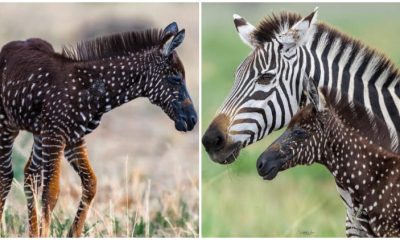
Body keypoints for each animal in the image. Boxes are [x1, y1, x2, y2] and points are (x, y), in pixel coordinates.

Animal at [0, 21, 197, 237]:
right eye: (176, 78)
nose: (193, 120)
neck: (92, 90)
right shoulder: (56, 134)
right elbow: (51, 192)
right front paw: (47, 235)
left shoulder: (72, 138)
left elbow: (91, 184)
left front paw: (73, 234)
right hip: (7, 126)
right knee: (6, 175)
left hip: (38, 134)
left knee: (30, 173)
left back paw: (32, 233)